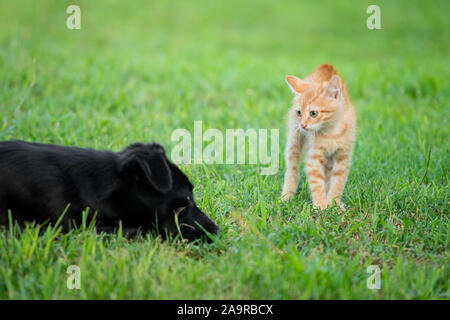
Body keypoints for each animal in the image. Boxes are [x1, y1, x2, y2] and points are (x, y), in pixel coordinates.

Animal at [282, 64, 356, 210]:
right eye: (299, 112)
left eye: (313, 113)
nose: (303, 125)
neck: (332, 132)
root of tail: (325, 66)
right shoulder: (314, 157)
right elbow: (316, 182)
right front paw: (321, 205)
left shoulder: (343, 156)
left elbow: (338, 182)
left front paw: (334, 203)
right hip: (295, 139)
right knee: (292, 169)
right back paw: (287, 195)